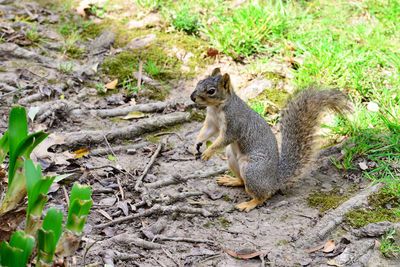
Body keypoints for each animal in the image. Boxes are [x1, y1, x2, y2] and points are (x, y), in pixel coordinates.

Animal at [191, 68, 350, 213]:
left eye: (211, 91)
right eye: (199, 82)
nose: (192, 98)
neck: (217, 107)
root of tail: (274, 180)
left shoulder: (234, 123)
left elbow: (224, 139)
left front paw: (208, 152)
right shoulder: (212, 121)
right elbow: (206, 132)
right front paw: (196, 145)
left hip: (252, 170)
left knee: (264, 194)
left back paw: (249, 204)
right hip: (232, 159)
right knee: (243, 182)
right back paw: (231, 180)